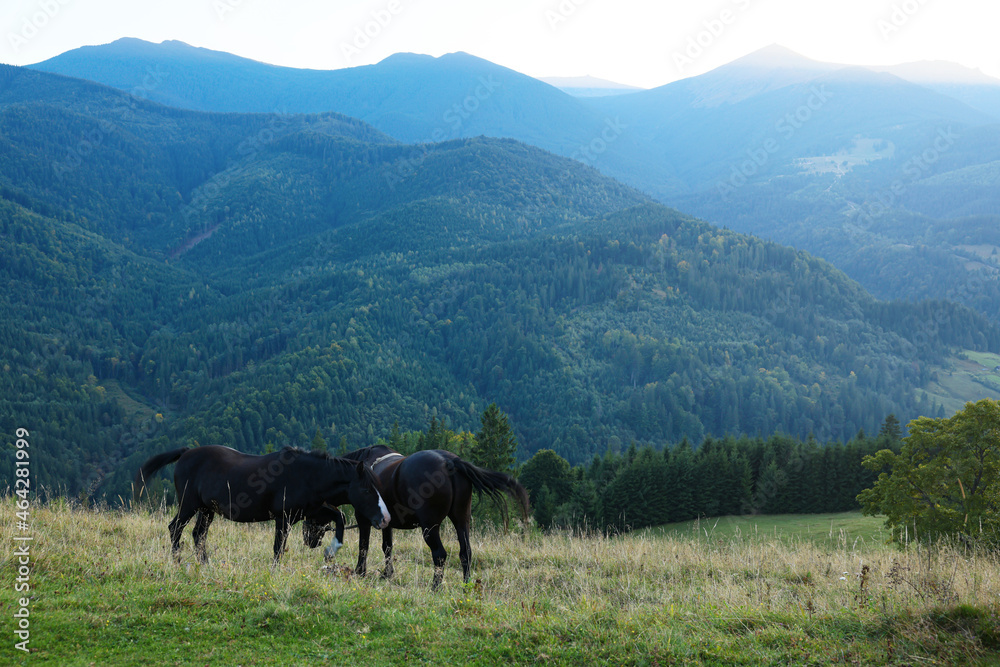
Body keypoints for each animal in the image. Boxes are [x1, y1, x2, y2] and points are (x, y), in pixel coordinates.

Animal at [133, 445, 390, 563]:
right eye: (367, 490)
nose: (385, 519)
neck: (306, 475)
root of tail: (186, 453)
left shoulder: (308, 510)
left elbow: (339, 516)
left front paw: (331, 550)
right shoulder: (283, 517)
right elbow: (278, 547)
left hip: (206, 510)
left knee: (198, 534)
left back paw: (204, 563)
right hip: (188, 506)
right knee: (176, 528)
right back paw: (177, 560)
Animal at [337, 445, 530, 589]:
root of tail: (450, 462)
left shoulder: (364, 519)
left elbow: (364, 546)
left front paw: (360, 572)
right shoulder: (386, 521)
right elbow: (387, 547)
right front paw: (387, 574)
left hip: (430, 526)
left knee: (440, 554)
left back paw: (435, 587)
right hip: (461, 520)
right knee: (465, 552)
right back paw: (465, 585)